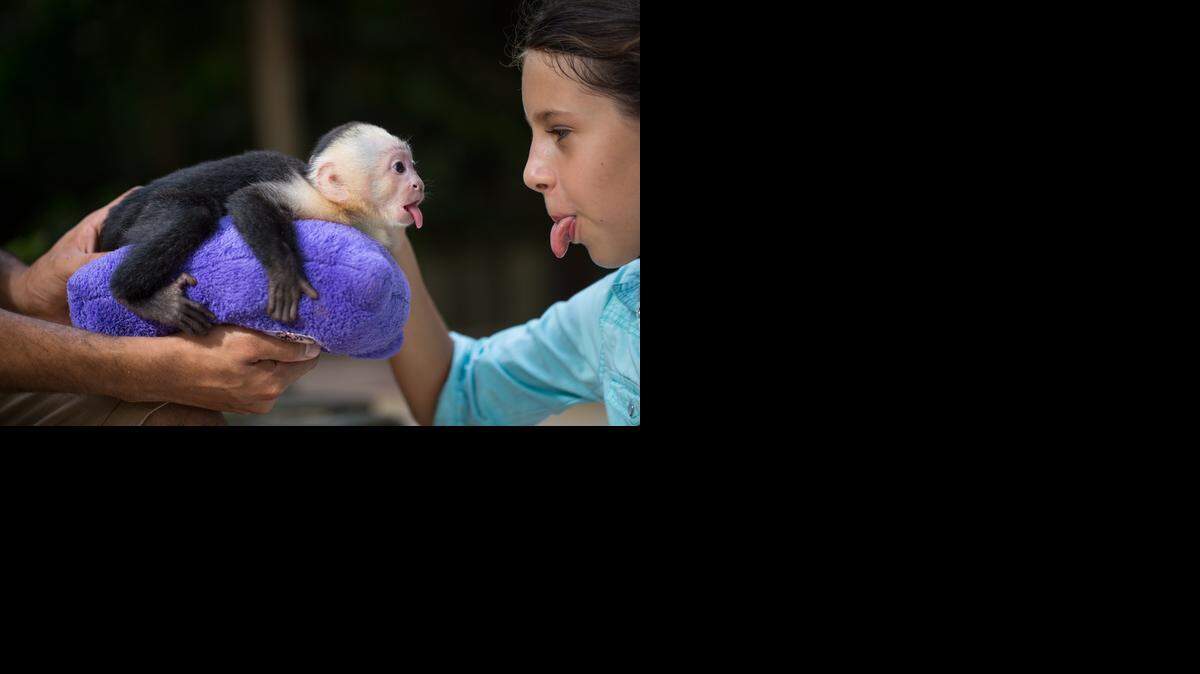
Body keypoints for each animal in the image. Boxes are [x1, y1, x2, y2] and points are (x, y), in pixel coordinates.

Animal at [97, 122, 425, 336]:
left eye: (413, 164)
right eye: (399, 168)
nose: (418, 184)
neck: (344, 208)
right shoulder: (314, 201)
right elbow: (249, 199)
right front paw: (284, 274)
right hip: (146, 213)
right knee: (193, 215)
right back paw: (136, 297)